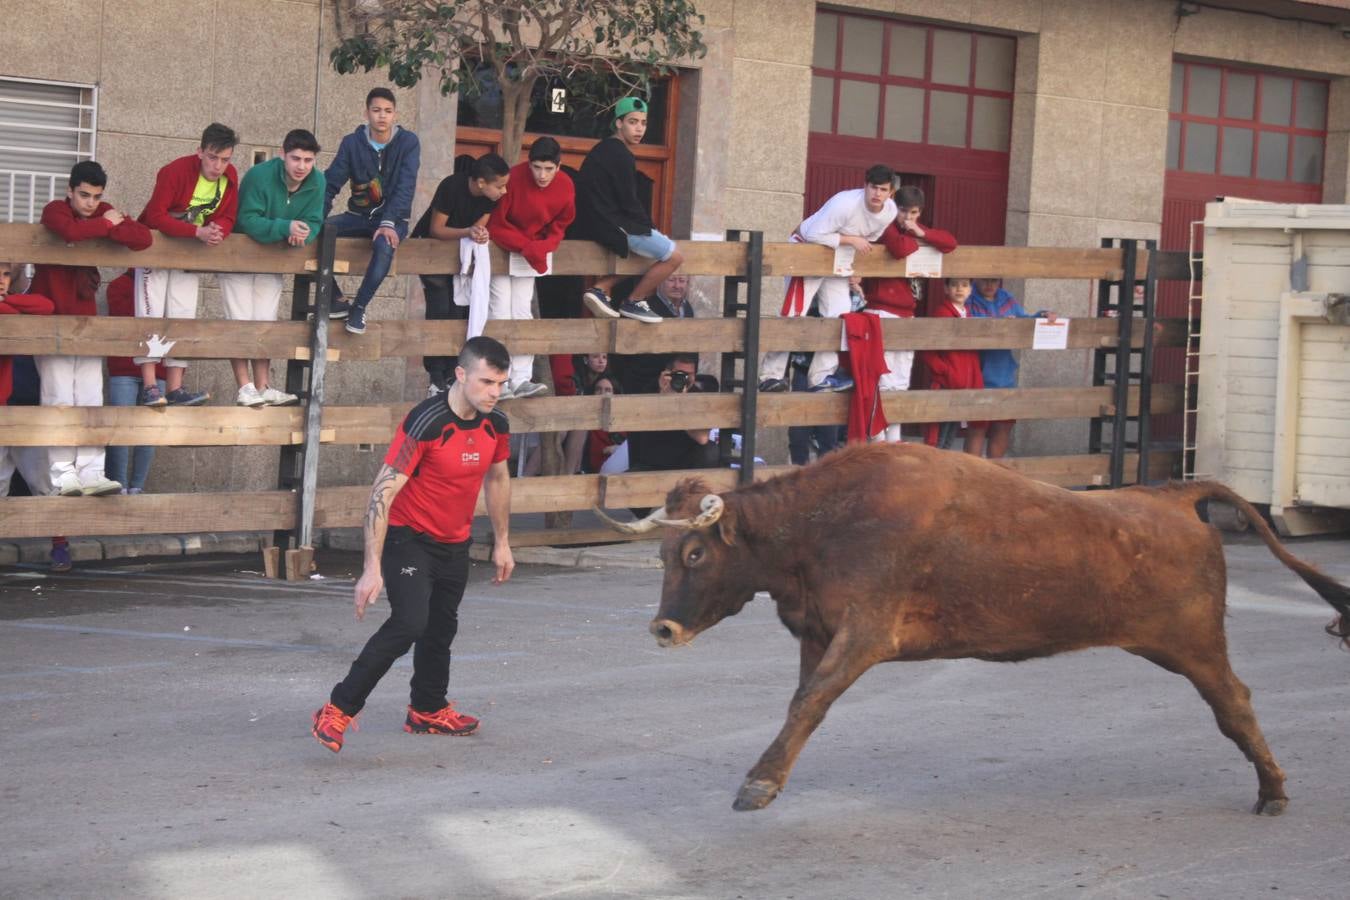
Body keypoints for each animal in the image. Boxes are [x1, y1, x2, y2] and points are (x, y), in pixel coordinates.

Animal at [602, 442, 1350, 814]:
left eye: (694, 554)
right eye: (663, 555)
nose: (662, 629)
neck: (821, 524)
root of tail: (1171, 495)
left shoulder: (865, 634)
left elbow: (810, 702)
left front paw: (757, 785)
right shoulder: (819, 636)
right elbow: (801, 705)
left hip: (1194, 645)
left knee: (1235, 705)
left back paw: (1273, 791)